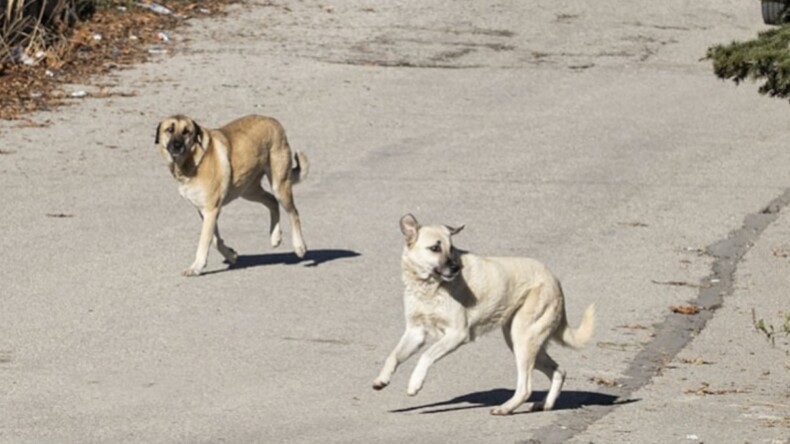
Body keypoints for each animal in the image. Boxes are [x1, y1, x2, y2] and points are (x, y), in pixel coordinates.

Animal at [157, 112, 310, 276]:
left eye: (186, 132)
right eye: (169, 129)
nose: (177, 145)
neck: (192, 161)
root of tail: (273, 120)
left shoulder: (211, 210)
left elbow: (205, 241)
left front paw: (196, 267)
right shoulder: (205, 212)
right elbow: (214, 240)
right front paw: (231, 255)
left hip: (279, 186)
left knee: (293, 213)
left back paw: (299, 246)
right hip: (248, 191)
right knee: (272, 201)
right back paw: (275, 237)